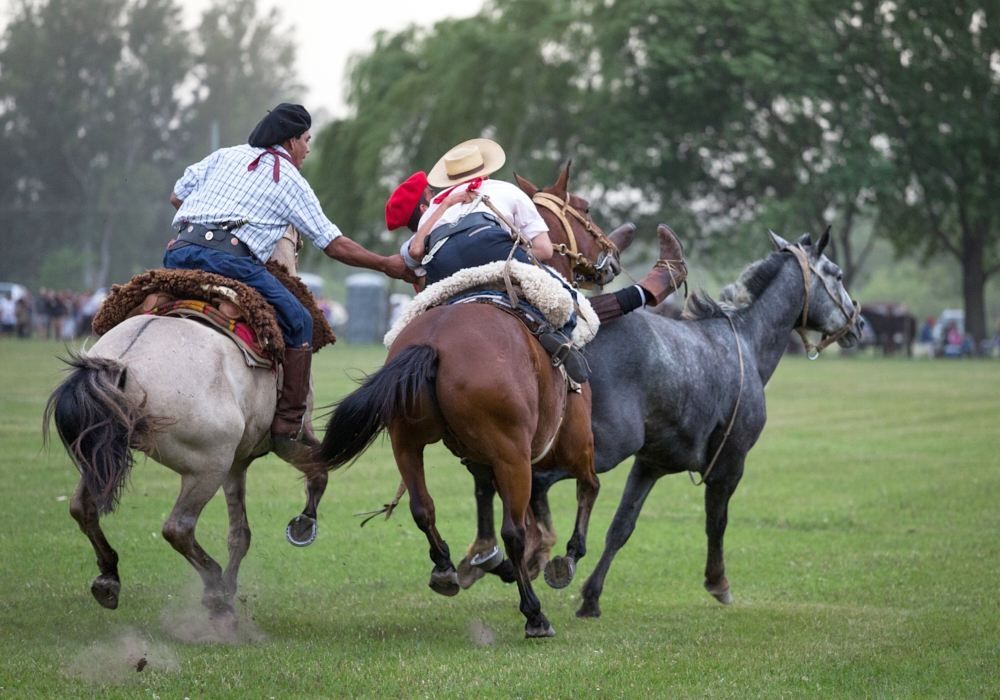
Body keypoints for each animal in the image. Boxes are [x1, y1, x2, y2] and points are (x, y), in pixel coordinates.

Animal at [464, 231, 864, 616]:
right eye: (837, 274)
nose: (858, 323)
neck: (744, 341)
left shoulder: (650, 465)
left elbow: (621, 527)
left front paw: (592, 597)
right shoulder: (730, 465)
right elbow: (716, 522)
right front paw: (718, 582)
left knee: (493, 481)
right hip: (601, 448)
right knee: (537, 484)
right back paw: (540, 552)